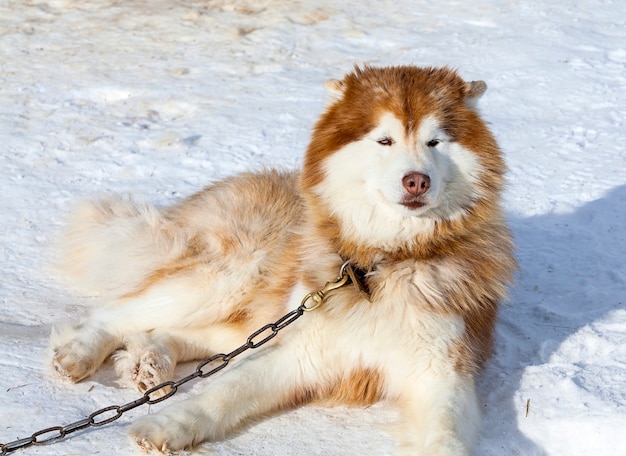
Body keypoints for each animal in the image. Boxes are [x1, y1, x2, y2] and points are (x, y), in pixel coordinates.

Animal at [51, 63, 516, 452]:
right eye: (384, 140)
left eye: (435, 142)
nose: (416, 180)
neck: (383, 262)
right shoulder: (301, 350)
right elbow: (225, 391)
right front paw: (165, 426)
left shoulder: (443, 373)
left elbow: (446, 438)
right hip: (228, 279)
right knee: (117, 311)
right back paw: (82, 353)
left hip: (259, 311)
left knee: (191, 336)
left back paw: (150, 362)